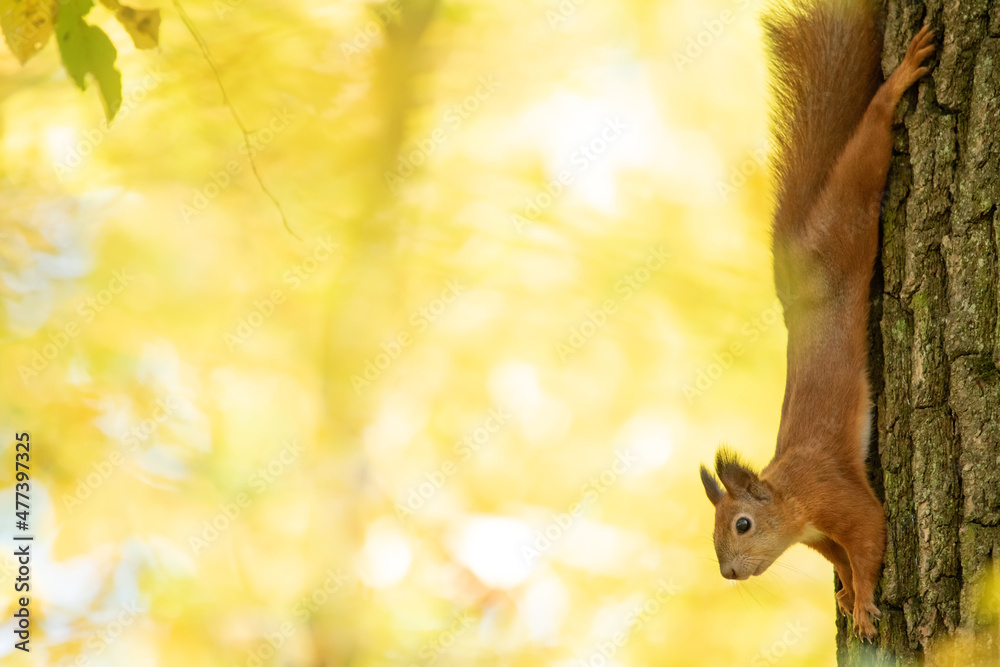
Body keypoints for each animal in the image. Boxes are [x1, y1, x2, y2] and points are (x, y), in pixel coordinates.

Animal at [700, 1, 932, 640]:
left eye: (742, 524)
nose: (729, 573)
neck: (789, 495)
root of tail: (796, 272)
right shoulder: (819, 537)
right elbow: (844, 560)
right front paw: (851, 596)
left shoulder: (836, 496)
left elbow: (871, 535)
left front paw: (865, 604)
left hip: (847, 223)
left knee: (867, 147)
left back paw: (899, 80)